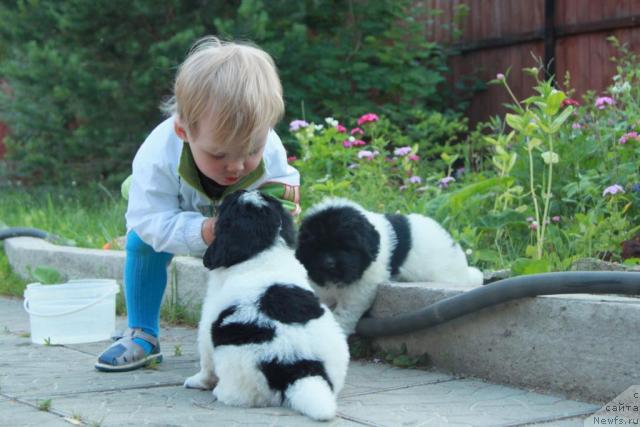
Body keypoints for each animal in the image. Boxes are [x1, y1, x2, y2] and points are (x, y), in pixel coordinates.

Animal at [182, 191, 348, 422]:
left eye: (230, 206)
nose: (237, 191)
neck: (264, 250)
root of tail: (301, 367)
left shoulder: (207, 323)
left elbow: (206, 361)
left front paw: (198, 381)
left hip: (238, 366)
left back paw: (221, 392)